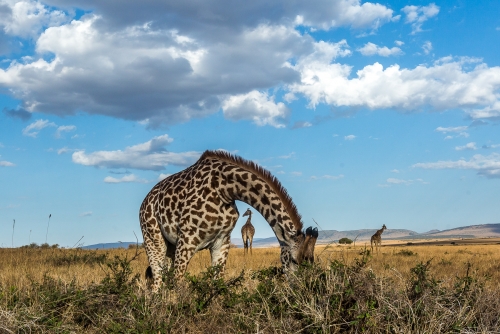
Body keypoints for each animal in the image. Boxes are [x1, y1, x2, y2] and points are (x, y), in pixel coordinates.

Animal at [139, 150, 314, 290]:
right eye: (294, 260)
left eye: (311, 261)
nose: (302, 289)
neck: (225, 190)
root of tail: (144, 202)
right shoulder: (186, 240)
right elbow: (179, 285)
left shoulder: (221, 241)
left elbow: (217, 284)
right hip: (154, 241)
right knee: (157, 283)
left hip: (170, 246)